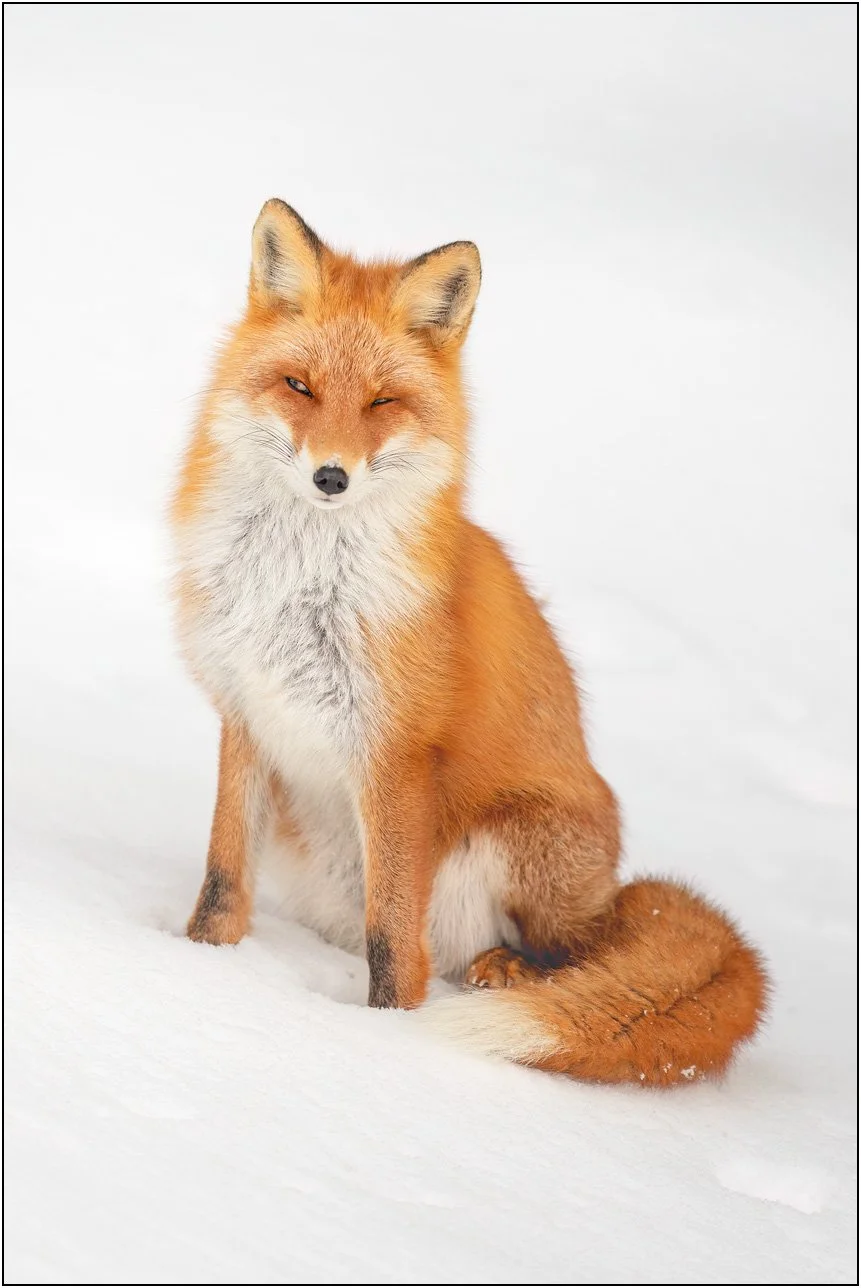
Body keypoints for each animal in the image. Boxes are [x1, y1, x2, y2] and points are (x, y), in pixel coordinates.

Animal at [172, 199, 768, 1087]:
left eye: (382, 401)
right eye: (299, 385)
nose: (330, 477)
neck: (300, 585)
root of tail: (616, 891)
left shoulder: (393, 753)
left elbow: (393, 941)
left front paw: (381, 1038)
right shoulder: (248, 712)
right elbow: (221, 883)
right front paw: (195, 966)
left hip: (517, 843)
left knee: (574, 955)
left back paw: (509, 970)